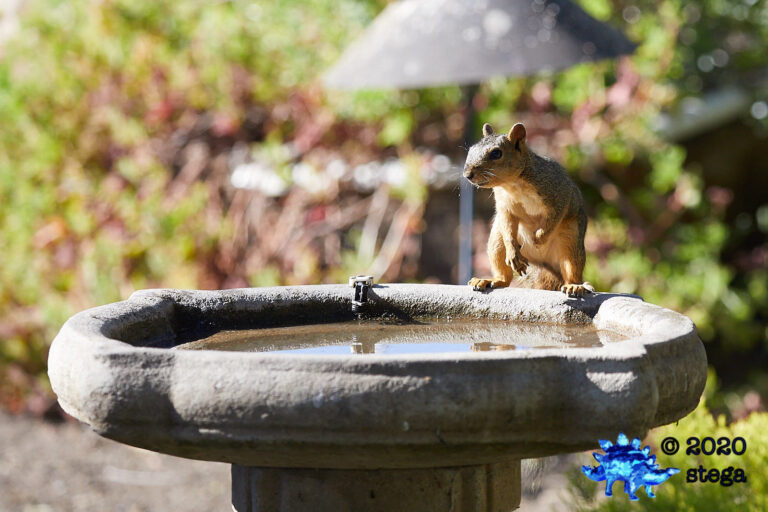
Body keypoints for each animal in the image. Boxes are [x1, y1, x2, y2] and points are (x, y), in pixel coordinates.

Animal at [463, 122, 594, 297]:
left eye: (496, 153)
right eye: (470, 150)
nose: (467, 174)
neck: (512, 184)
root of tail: (542, 262)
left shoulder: (559, 193)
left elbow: (555, 216)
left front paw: (539, 238)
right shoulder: (504, 207)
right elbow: (507, 222)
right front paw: (514, 250)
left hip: (571, 239)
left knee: (571, 269)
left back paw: (574, 286)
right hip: (496, 241)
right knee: (504, 275)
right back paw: (491, 279)